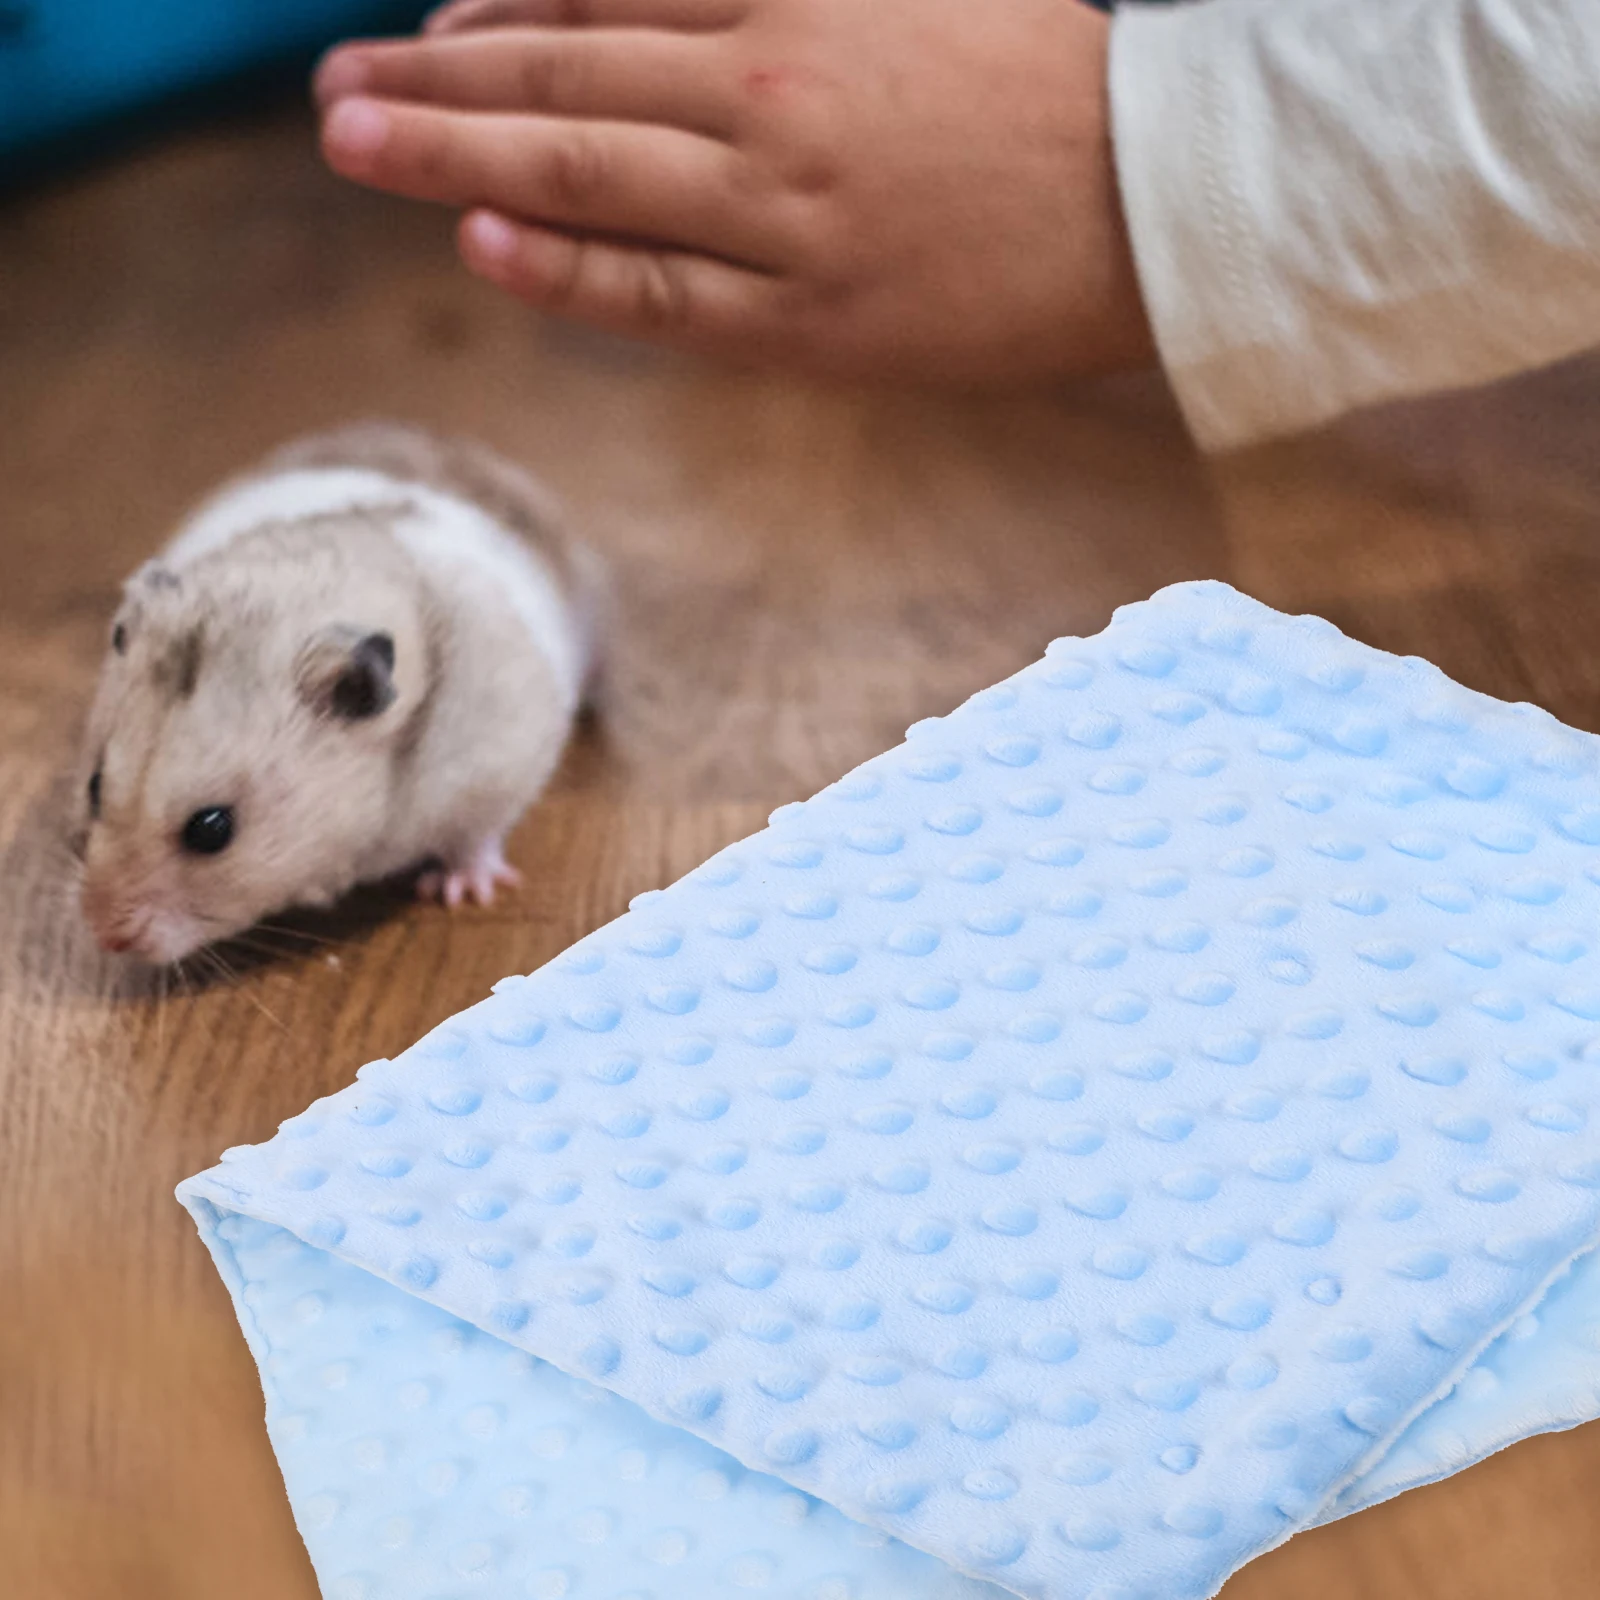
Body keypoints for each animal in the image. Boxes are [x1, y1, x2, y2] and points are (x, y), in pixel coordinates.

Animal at [73, 422, 603, 964]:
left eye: (212, 829)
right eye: (94, 786)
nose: (104, 935)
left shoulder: (502, 765)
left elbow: (477, 836)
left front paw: (461, 892)